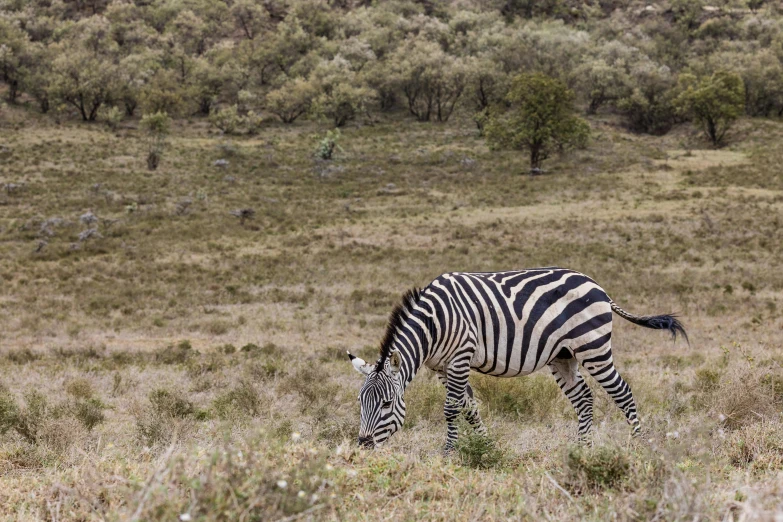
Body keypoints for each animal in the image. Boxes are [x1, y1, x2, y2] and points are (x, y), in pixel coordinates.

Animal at [350, 266, 688, 448]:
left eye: (386, 404)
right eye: (361, 403)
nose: (363, 445)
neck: (434, 323)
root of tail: (598, 287)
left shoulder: (460, 357)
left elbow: (451, 408)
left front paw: (448, 452)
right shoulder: (444, 367)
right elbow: (470, 407)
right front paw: (485, 447)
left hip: (593, 348)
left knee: (623, 393)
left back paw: (638, 444)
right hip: (563, 355)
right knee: (584, 399)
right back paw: (583, 448)